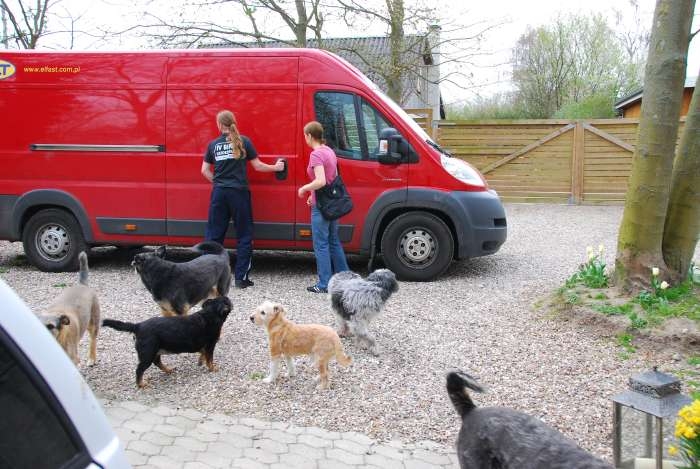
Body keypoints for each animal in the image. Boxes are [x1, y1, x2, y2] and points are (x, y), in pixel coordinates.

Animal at [102, 296, 232, 388]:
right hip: (148, 353)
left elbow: (203, 354)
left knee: (157, 362)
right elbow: (209, 358)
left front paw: (201, 362)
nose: (228, 298)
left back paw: (168, 370)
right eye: (226, 301)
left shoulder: (203, 346)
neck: (209, 314)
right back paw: (141, 384)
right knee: (139, 369)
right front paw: (212, 368)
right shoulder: (210, 344)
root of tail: (138, 326)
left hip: (155, 351)